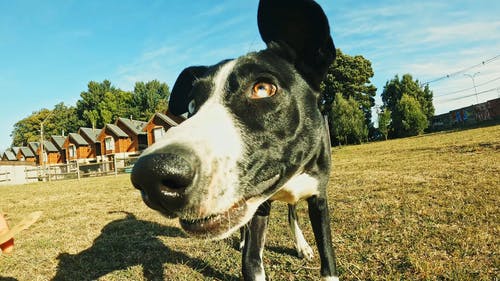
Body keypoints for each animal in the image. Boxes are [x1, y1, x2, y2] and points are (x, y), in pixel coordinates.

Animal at [131, 0, 338, 278]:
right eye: (192, 104)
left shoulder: (319, 199)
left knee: (292, 211)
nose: (150, 175)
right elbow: (251, 261)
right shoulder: (259, 210)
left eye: (262, 88)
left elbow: (327, 259)